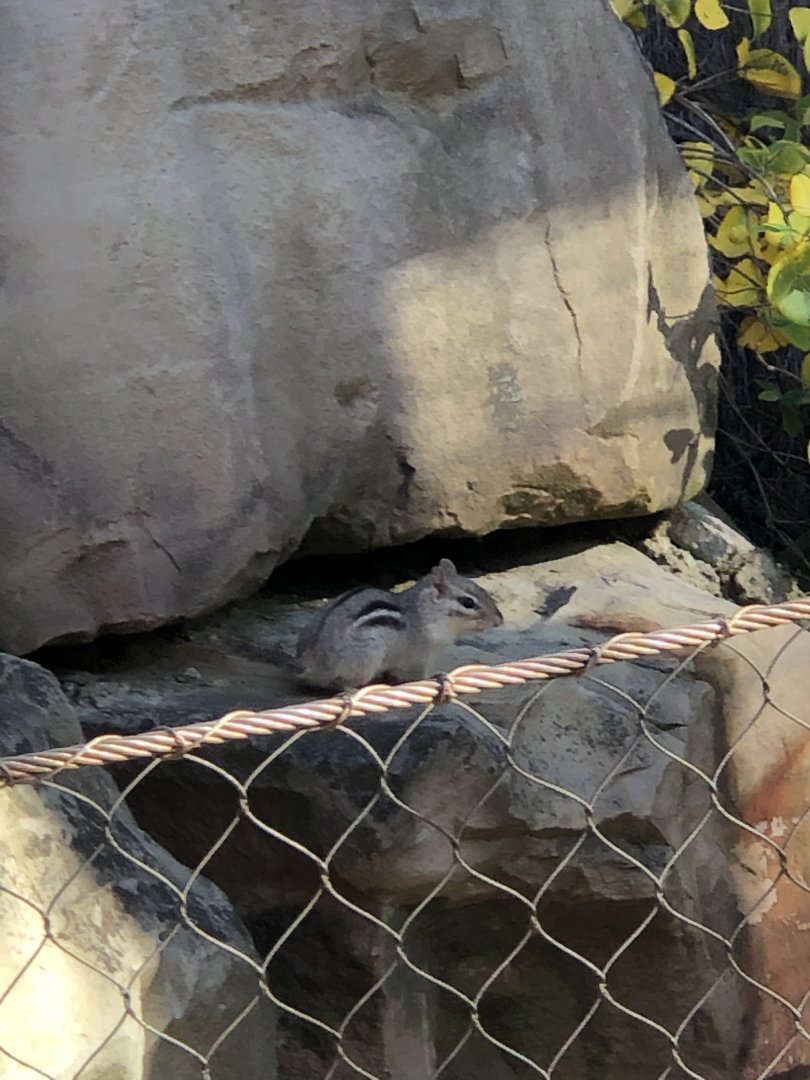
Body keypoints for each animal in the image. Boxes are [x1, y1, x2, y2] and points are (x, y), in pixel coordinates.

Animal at [295, 557, 503, 691]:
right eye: (468, 602)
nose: (500, 619)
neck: (425, 611)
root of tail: (313, 664)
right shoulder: (419, 654)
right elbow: (417, 676)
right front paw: (437, 676)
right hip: (367, 656)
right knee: (338, 682)